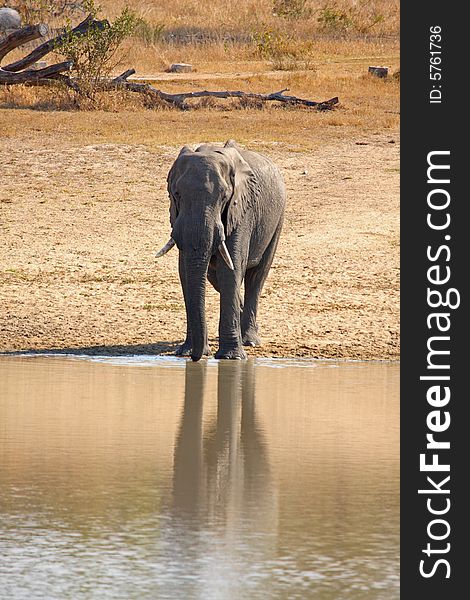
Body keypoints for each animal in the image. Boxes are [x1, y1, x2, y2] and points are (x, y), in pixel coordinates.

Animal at [156, 139, 284, 360]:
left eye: (224, 196)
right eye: (176, 194)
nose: (195, 358)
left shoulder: (241, 211)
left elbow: (230, 270)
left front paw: (230, 357)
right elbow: (185, 272)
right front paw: (186, 351)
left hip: (277, 219)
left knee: (256, 277)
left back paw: (249, 340)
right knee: (215, 277)